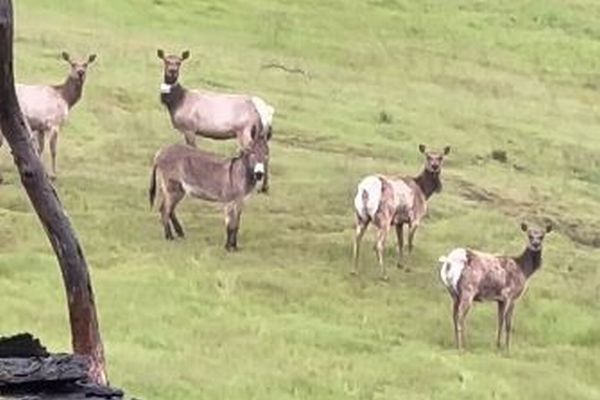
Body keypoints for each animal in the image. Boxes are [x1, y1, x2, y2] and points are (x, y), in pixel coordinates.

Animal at [352, 145, 450, 282]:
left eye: (441, 157)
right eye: (428, 156)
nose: (434, 166)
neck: (424, 191)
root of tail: (365, 190)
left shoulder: (399, 222)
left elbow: (400, 242)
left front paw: (400, 264)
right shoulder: (415, 219)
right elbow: (410, 244)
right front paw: (408, 268)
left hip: (361, 217)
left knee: (357, 239)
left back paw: (354, 270)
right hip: (384, 219)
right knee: (379, 245)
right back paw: (384, 275)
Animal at [440, 223, 552, 352]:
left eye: (542, 236)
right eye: (529, 235)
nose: (535, 244)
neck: (524, 270)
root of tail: (449, 261)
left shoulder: (500, 299)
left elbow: (500, 321)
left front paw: (498, 345)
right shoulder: (510, 295)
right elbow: (507, 323)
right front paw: (507, 349)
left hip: (453, 293)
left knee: (454, 316)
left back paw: (458, 344)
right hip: (468, 290)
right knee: (460, 317)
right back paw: (461, 347)